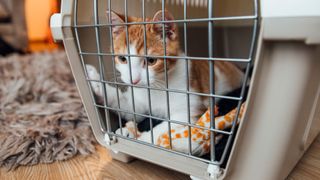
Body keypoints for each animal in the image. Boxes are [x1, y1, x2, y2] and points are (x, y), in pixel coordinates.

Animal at [85, 9, 242, 144]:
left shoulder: (188, 111)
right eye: (122, 59)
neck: (156, 87)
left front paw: (143, 139)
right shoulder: (136, 104)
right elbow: (125, 106)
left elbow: (165, 127)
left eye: (151, 61)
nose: (134, 80)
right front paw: (94, 79)